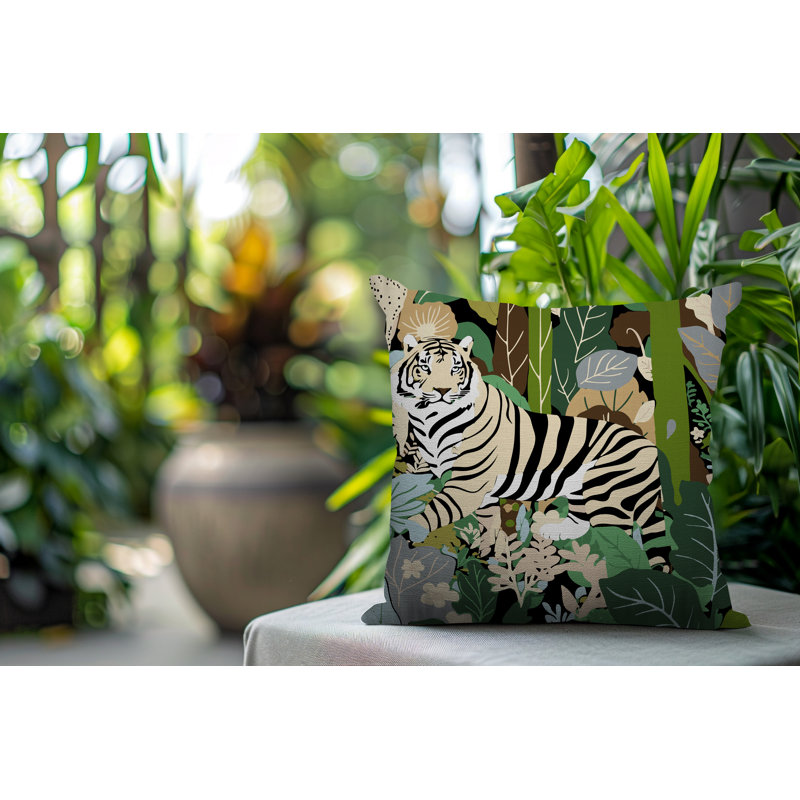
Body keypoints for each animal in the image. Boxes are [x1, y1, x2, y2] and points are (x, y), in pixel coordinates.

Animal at [392, 334, 669, 570]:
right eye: (425, 367)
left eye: (455, 369)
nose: (442, 391)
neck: (431, 420)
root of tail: (650, 448)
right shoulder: (481, 489)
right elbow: (488, 520)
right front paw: (488, 551)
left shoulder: (467, 484)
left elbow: (437, 509)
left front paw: (410, 530)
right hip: (582, 490)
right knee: (582, 522)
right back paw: (549, 530)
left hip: (606, 496)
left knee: (617, 539)